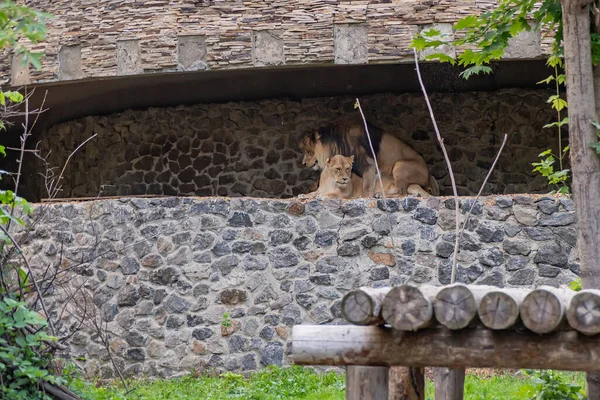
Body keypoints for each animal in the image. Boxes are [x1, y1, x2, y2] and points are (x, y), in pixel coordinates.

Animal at [298, 115, 436, 198]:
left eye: (308, 151)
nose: (303, 163)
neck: (337, 141)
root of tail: (429, 176)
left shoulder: (369, 164)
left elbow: (367, 186)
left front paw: (364, 198)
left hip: (400, 165)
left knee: (401, 193)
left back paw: (380, 195)